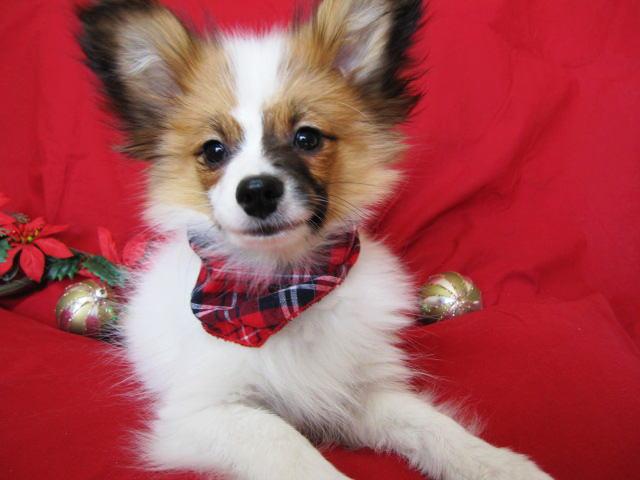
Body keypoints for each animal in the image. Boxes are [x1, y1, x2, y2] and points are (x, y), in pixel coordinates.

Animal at [78, 1, 553, 478]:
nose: (257, 191)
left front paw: (498, 464)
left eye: (307, 137)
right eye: (213, 150)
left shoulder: (360, 392)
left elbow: (431, 425)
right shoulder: (201, 412)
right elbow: (285, 442)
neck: (283, 289)